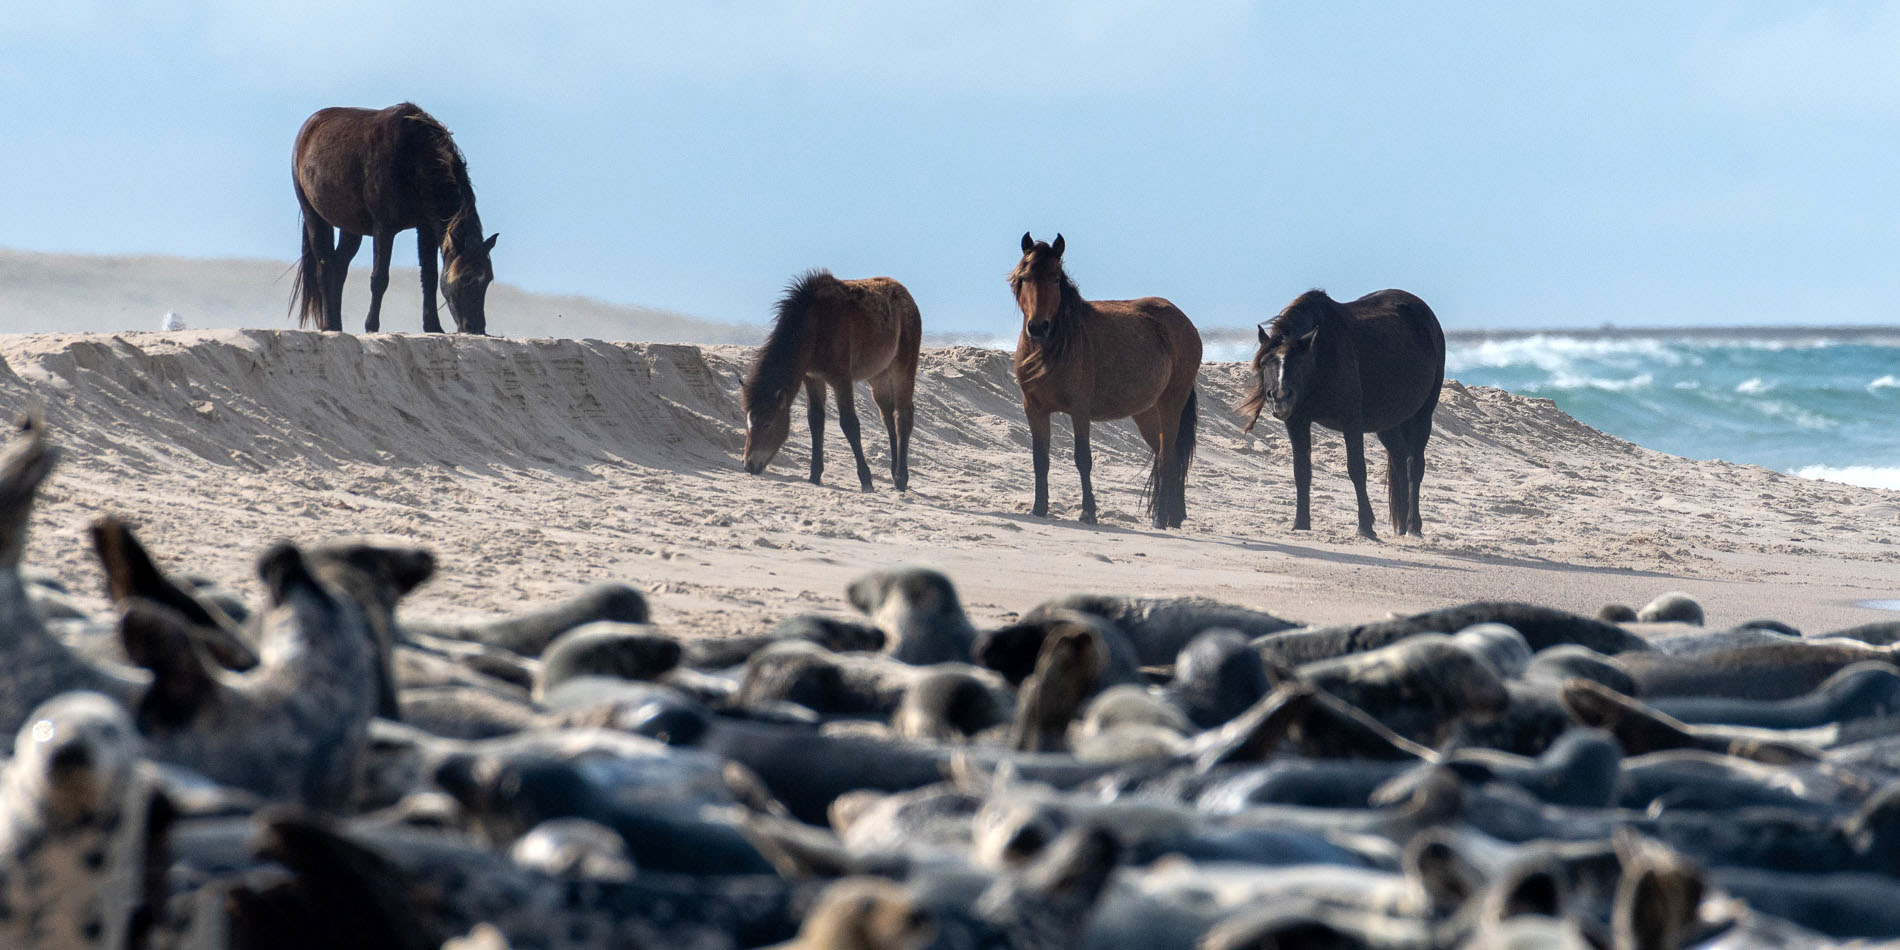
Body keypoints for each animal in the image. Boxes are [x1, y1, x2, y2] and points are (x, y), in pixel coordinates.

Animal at [288, 103, 497, 334]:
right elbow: (379, 278)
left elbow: (430, 277)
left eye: (488, 279)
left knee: (338, 266)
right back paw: (328, 325)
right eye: (466, 278)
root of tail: (310, 126)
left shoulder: (426, 228)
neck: (413, 157)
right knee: (324, 267)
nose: (476, 328)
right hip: (313, 215)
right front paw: (371, 326)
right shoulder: (384, 228)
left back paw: (336, 324)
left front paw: (433, 326)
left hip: (350, 228)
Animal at [741, 267, 919, 490]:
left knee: (902, 416)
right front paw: (814, 475)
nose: (749, 465)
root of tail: (906, 294)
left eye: (768, 423)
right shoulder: (813, 378)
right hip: (878, 376)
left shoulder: (841, 379)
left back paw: (901, 478)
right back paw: (894, 473)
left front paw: (866, 480)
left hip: (903, 367)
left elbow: (849, 424)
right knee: (888, 417)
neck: (816, 326)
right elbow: (815, 421)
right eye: (748, 422)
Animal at [1010, 229, 1200, 528]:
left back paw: (1161, 517)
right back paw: (1174, 516)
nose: (1038, 327)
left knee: (1168, 457)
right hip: (1148, 413)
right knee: (1163, 455)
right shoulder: (1034, 409)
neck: (1052, 349)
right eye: (1025, 277)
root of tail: (1184, 322)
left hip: (1171, 403)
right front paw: (1039, 508)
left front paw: (1088, 512)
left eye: (1055, 278)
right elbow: (1040, 459)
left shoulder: (1080, 410)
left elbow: (1082, 459)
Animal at [1238, 288, 1444, 539]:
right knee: (1399, 460)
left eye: (1300, 362)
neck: (1321, 358)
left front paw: (1366, 526)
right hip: (1388, 423)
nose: (1279, 396)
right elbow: (1301, 470)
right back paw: (1402, 528)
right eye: (1266, 362)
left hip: (1423, 414)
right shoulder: (1296, 421)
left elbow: (1357, 469)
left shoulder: (1351, 420)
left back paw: (1414, 527)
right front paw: (1301, 523)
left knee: (1414, 465)